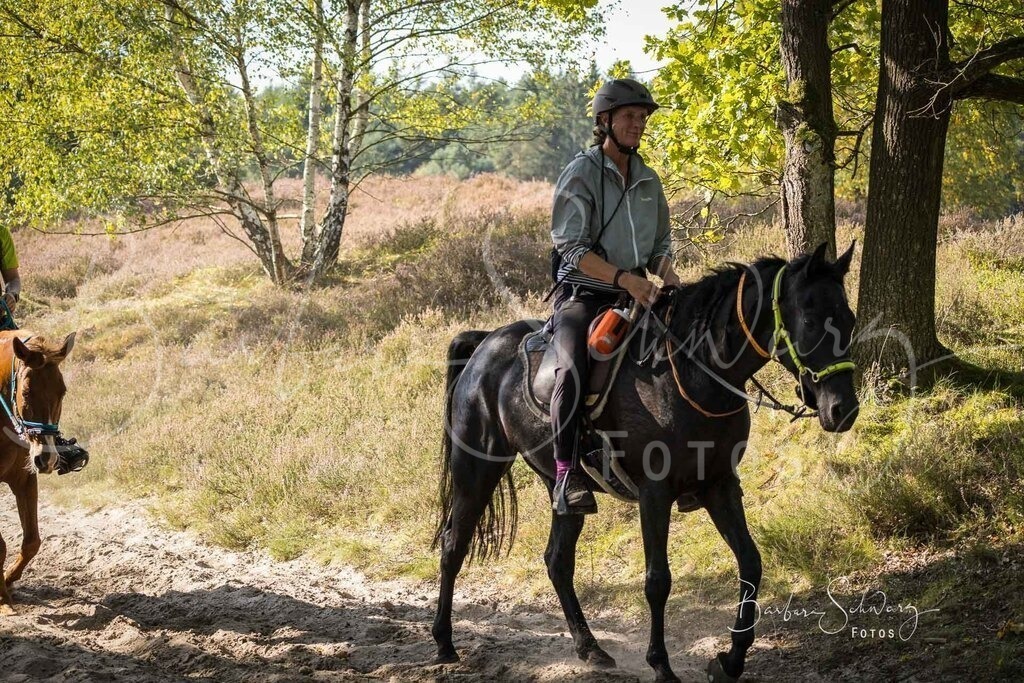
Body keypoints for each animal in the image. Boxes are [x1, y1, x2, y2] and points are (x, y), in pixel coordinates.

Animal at [0, 330, 77, 615]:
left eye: (62, 391)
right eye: (26, 391)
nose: (46, 458)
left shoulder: (23, 479)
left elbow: (32, 541)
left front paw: (8, 581)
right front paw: (3, 599)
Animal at [431, 243, 859, 682]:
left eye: (850, 319)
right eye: (810, 320)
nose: (843, 410)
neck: (693, 372)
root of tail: (485, 344)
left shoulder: (720, 484)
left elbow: (751, 563)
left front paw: (730, 659)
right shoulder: (655, 493)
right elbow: (658, 580)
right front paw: (662, 665)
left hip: (560, 488)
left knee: (557, 560)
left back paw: (590, 648)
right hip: (476, 469)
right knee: (453, 544)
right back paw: (444, 643)